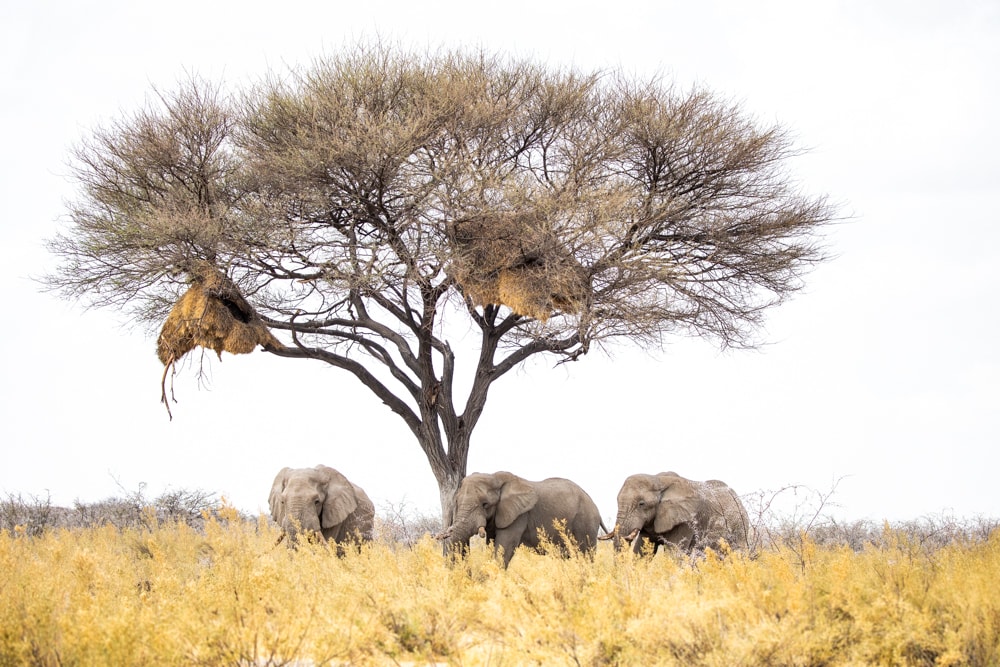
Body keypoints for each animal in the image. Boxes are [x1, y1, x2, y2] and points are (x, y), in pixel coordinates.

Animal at [434, 470, 604, 568]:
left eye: (485, 504)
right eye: (456, 502)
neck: (495, 478)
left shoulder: (519, 516)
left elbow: (504, 547)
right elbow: (492, 544)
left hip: (585, 522)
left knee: (585, 555)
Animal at [600, 472, 752, 556]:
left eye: (641, 504)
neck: (659, 480)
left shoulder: (686, 521)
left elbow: (674, 554)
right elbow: (642, 551)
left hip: (740, 529)